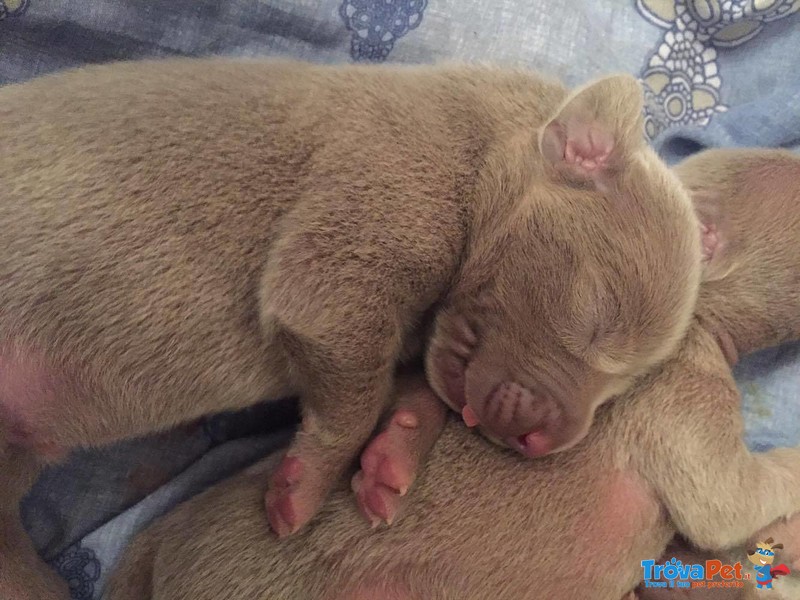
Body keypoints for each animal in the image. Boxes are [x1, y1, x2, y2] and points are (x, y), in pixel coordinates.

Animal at [0, 58, 700, 596]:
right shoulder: (358, 241)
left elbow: (408, 389)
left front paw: (393, 458)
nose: (542, 444)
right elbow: (353, 390)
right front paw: (301, 491)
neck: (485, 146)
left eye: (630, 381)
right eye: (598, 315)